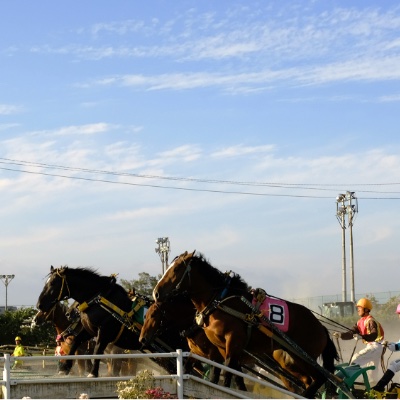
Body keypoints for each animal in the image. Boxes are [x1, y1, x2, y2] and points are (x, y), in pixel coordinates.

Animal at [153, 250, 340, 396]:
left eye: (176, 269)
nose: (156, 293)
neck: (220, 300)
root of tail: (321, 327)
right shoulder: (220, 347)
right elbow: (222, 374)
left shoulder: (233, 341)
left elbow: (228, 372)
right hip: (288, 358)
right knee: (309, 380)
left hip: (303, 356)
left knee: (320, 378)